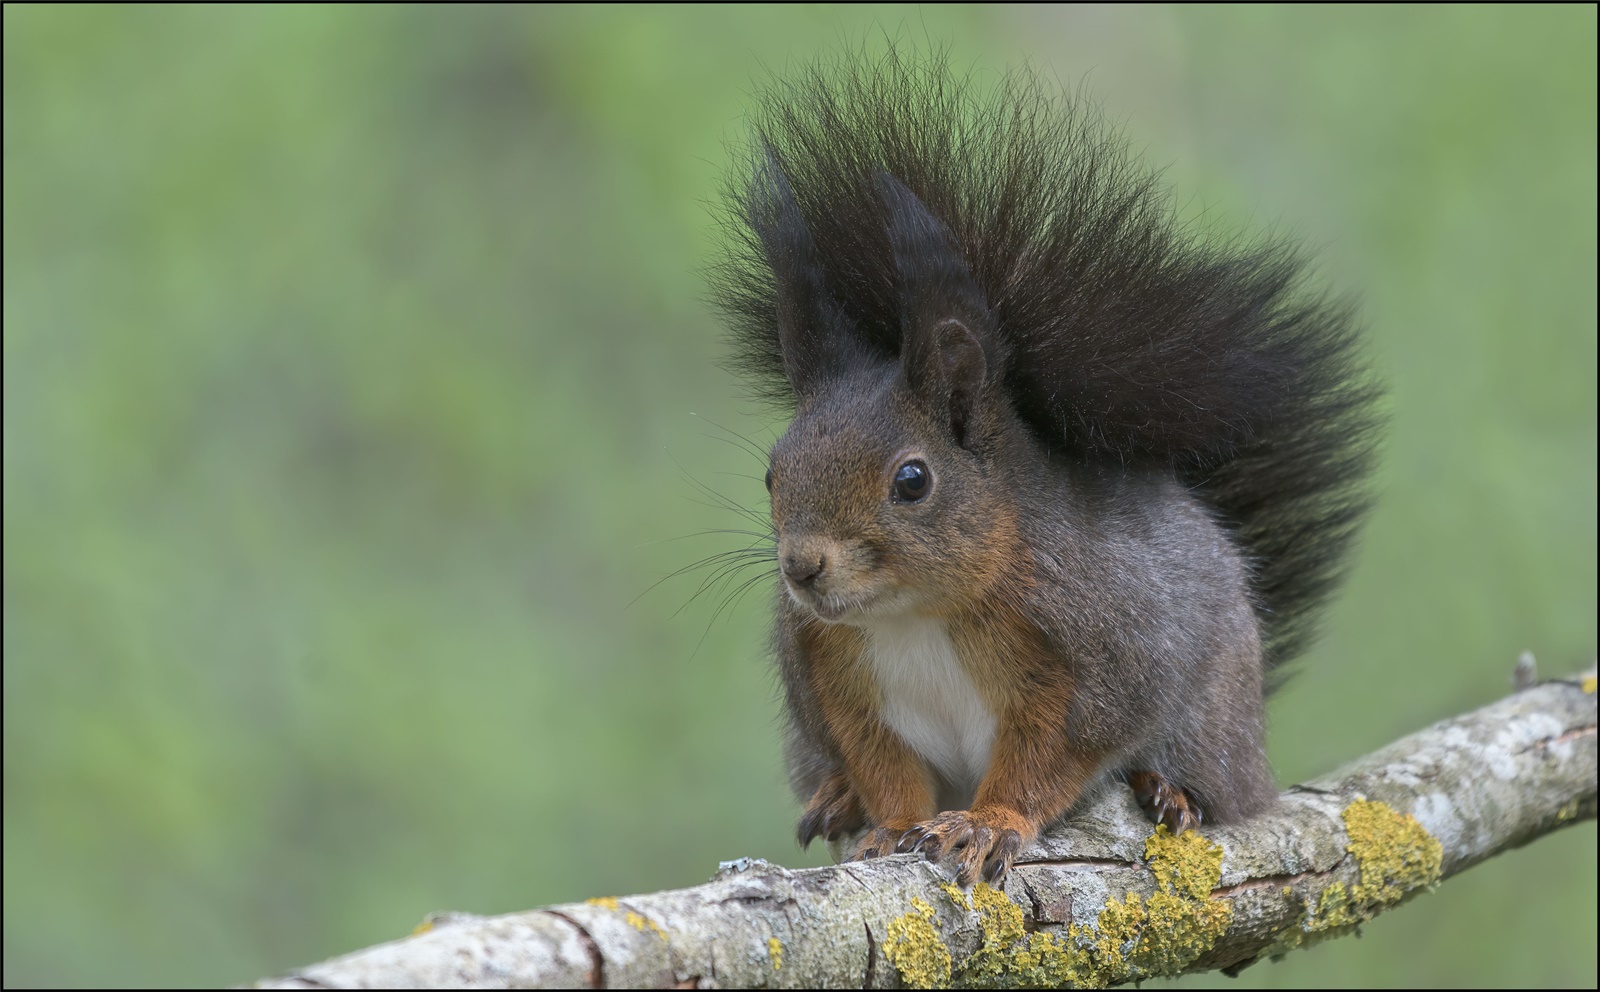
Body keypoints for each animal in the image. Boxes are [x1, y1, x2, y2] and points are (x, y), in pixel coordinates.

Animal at [707, 50, 1382, 883]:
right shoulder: (835, 678)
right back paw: (835, 795)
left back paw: (1173, 792)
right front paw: (887, 825)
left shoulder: (1103, 652)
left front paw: (991, 823)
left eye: (912, 480)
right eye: (773, 472)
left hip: (1215, 719)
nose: (800, 568)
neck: (912, 613)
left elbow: (1054, 754)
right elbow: (882, 762)